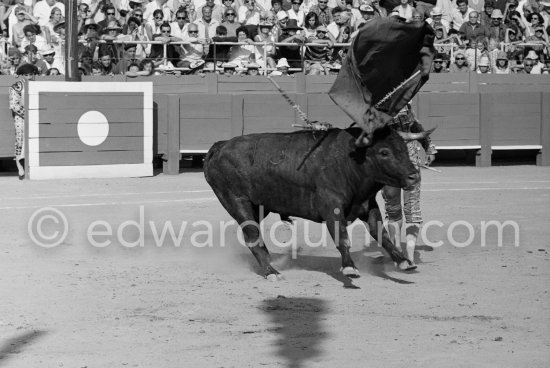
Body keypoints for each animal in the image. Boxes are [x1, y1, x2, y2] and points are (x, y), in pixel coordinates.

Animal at [205, 126, 424, 278]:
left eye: (405, 149)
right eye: (384, 152)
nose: (414, 176)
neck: (349, 161)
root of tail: (220, 146)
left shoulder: (368, 206)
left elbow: (382, 234)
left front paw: (404, 261)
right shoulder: (331, 208)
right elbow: (342, 236)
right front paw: (349, 268)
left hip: (258, 207)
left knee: (254, 236)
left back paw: (272, 264)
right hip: (237, 202)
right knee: (252, 236)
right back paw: (271, 272)